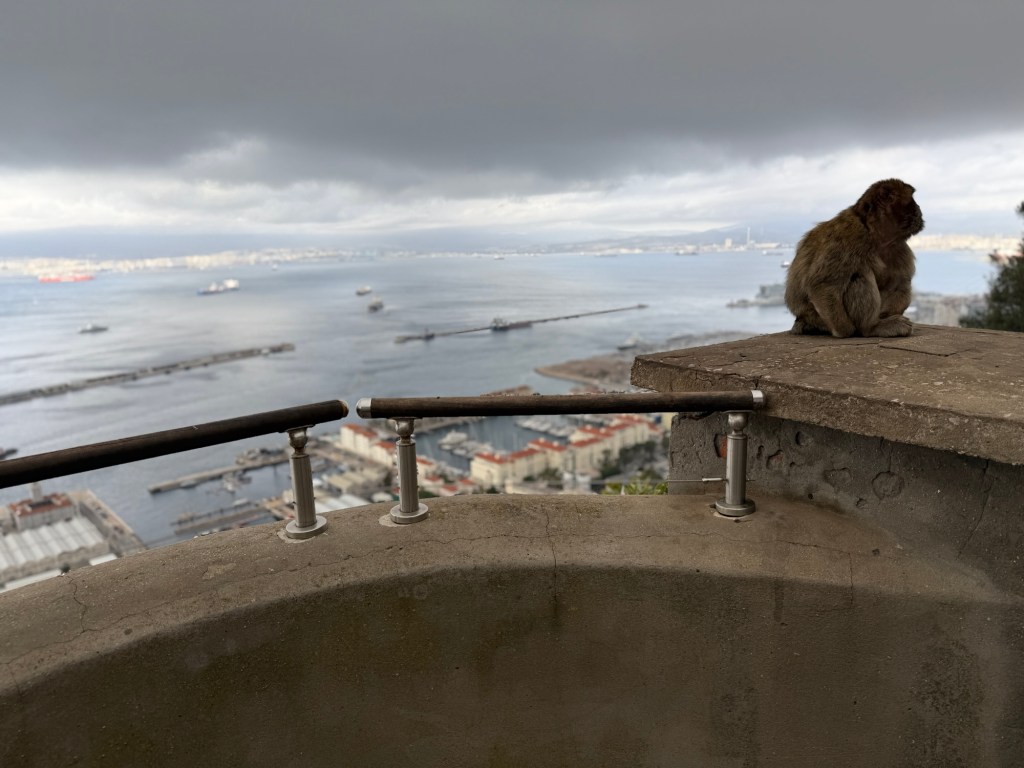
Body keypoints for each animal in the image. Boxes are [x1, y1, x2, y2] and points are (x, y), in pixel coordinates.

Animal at [784, 178, 924, 338]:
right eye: (911, 200)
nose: (919, 207)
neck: (874, 233)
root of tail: (801, 318)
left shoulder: (899, 248)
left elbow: (899, 284)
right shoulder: (848, 237)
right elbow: (823, 284)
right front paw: (845, 331)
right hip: (817, 318)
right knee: (859, 275)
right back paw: (871, 327)